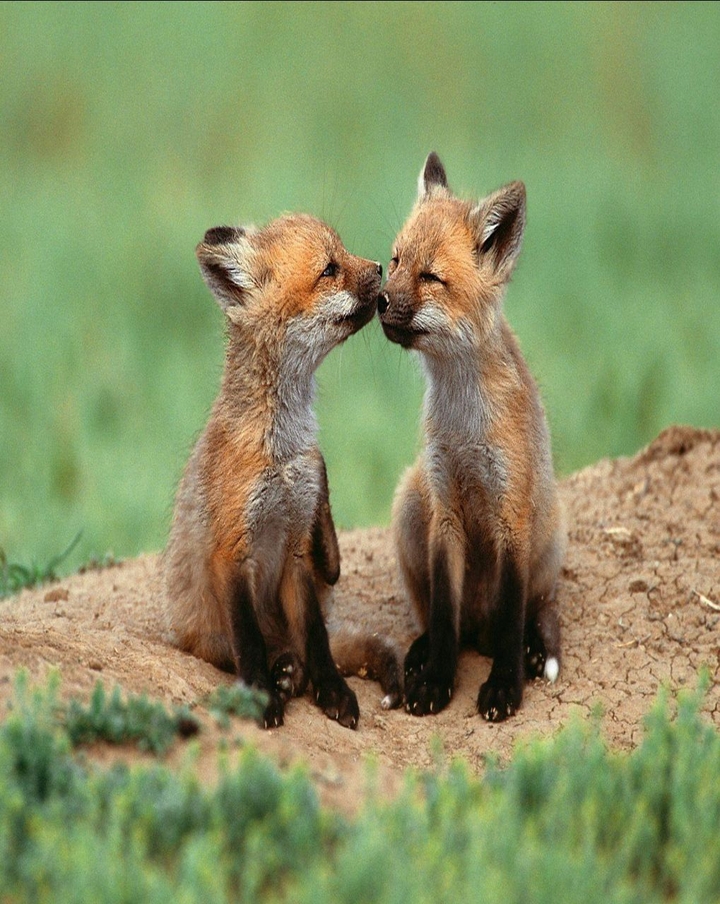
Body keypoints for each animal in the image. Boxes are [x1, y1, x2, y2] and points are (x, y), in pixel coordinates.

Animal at [163, 213, 402, 729]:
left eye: (344, 251)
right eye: (329, 269)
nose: (380, 266)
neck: (282, 451)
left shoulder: (297, 548)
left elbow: (317, 638)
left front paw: (333, 692)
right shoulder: (231, 553)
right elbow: (250, 643)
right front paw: (261, 697)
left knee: (312, 644)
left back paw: (297, 673)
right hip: (206, 637)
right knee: (262, 649)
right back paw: (283, 673)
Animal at [377, 153, 566, 722]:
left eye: (431, 277)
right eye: (395, 261)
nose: (378, 299)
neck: (463, 423)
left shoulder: (511, 514)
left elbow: (510, 615)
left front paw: (504, 687)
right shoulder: (444, 508)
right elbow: (443, 616)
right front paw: (438, 681)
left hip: (549, 531)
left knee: (530, 612)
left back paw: (530, 647)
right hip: (409, 500)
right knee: (449, 624)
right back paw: (424, 652)